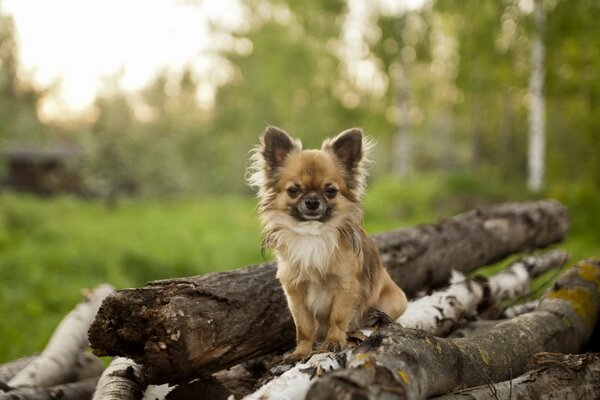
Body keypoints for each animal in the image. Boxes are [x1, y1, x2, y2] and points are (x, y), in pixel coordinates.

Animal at [245, 126, 408, 358]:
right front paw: (301, 352)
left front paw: (333, 342)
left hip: (394, 300)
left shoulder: (346, 287)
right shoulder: (295, 291)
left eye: (330, 191)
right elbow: (303, 326)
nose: (312, 201)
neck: (312, 234)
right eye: (293, 190)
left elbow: (337, 318)